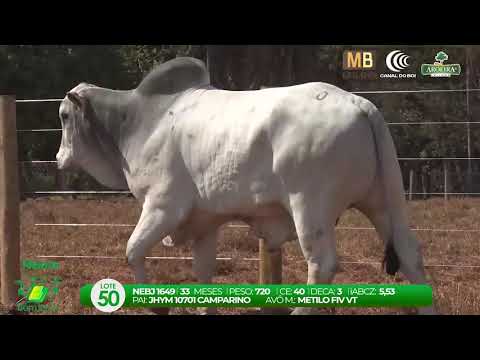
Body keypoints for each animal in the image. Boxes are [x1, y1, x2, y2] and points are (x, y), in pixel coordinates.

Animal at [55, 56, 436, 316]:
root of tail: (360, 103)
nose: (59, 158)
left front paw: (157, 306)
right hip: (382, 202)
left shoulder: (162, 206)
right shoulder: (204, 222)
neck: (138, 120)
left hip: (310, 207)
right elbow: (203, 271)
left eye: (63, 116)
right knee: (410, 255)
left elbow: (133, 250)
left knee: (322, 264)